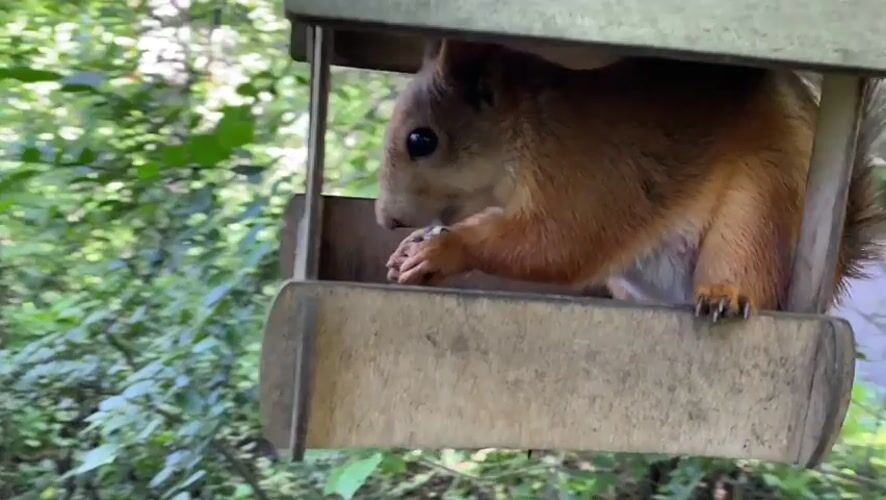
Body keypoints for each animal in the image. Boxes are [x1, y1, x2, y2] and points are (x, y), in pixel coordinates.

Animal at [374, 39, 886, 321]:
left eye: (422, 140)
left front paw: (443, 250)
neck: (525, 129)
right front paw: (411, 248)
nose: (386, 220)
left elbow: (558, 242)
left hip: (762, 201)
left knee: (750, 262)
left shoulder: (588, 172)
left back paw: (724, 297)